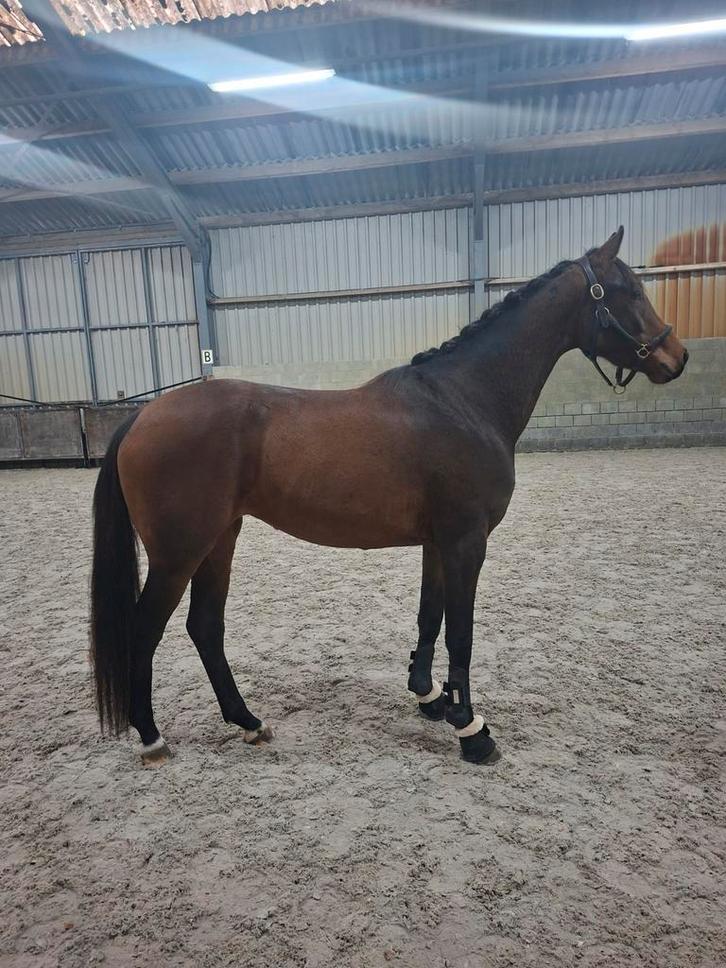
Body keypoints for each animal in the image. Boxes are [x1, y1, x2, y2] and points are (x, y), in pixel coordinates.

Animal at [90, 227, 688, 766]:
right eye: (627, 290)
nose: (677, 357)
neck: (463, 399)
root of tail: (143, 415)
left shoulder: (438, 543)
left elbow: (430, 617)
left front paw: (431, 697)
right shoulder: (467, 541)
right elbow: (461, 633)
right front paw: (472, 729)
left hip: (219, 540)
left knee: (205, 627)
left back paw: (249, 722)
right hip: (180, 553)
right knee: (145, 630)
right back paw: (152, 737)